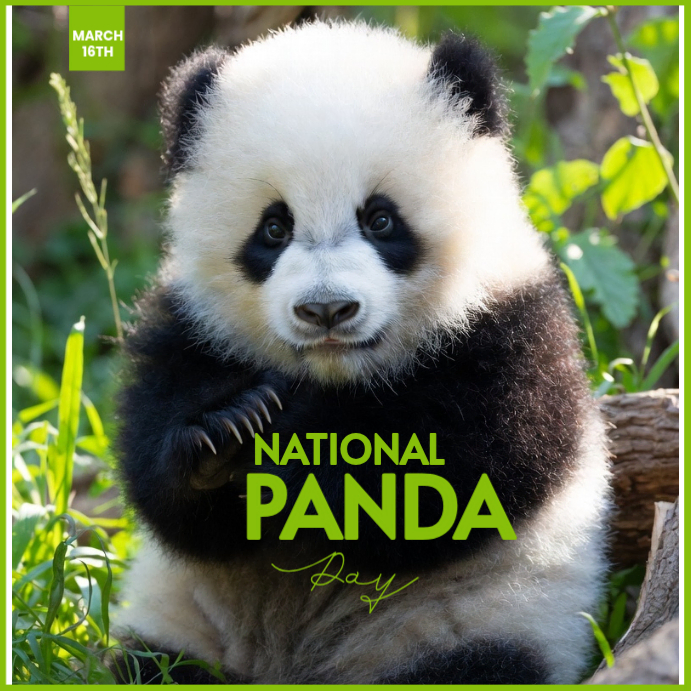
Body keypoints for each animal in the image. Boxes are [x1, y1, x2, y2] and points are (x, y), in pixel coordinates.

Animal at [112, 20, 611, 685]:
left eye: (380, 219)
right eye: (274, 228)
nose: (327, 311)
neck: (338, 378)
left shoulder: (511, 330)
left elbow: (452, 484)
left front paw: (289, 452)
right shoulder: (190, 326)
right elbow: (160, 485)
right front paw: (227, 436)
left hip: (466, 624)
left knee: (475, 665)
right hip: (187, 621)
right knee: (149, 666)